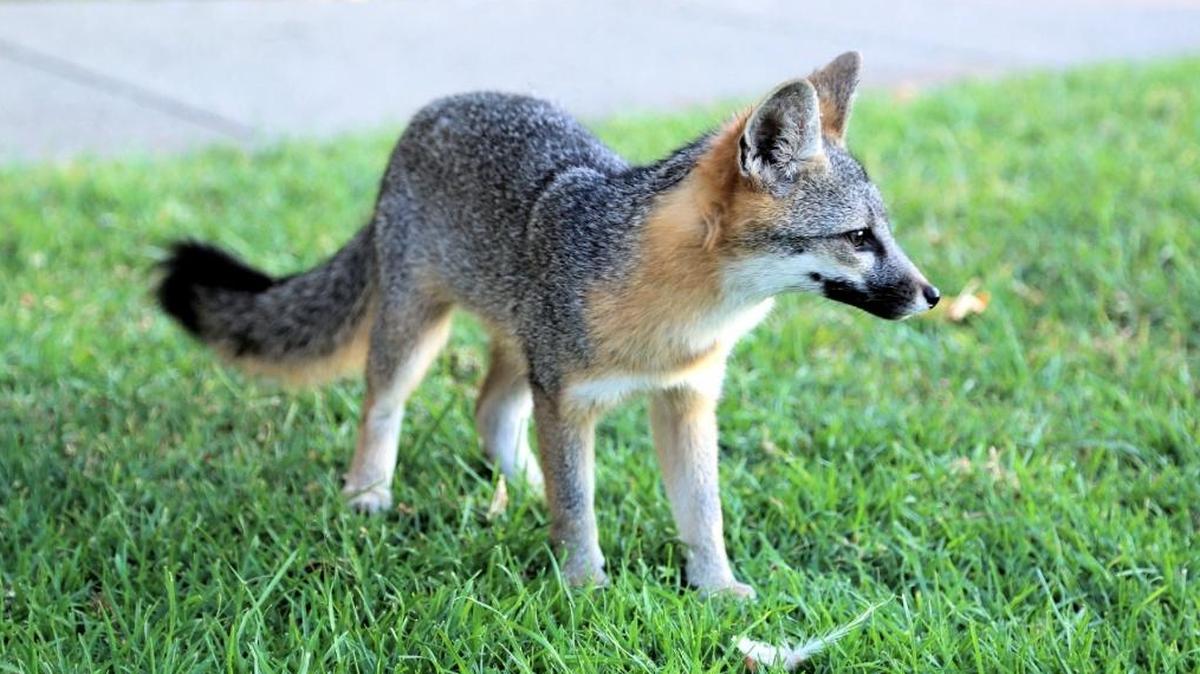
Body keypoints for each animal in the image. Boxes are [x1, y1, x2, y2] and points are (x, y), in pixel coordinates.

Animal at [157, 51, 939, 598]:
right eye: (859, 238)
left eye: (886, 233)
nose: (931, 295)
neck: (673, 319)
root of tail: (434, 109)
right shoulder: (567, 398)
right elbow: (580, 507)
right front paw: (585, 587)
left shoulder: (685, 399)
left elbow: (702, 514)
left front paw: (716, 590)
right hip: (420, 336)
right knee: (383, 406)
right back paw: (369, 493)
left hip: (518, 347)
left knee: (490, 411)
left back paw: (525, 484)